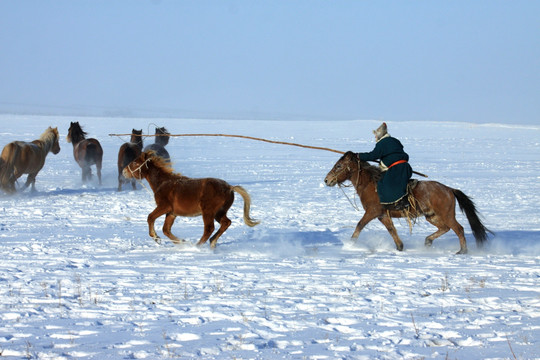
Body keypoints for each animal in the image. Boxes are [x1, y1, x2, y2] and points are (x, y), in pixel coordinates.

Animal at [124, 151, 260, 248]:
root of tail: (229, 188)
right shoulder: (172, 213)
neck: (163, 183)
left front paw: (156, 237)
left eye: (135, 163)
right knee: (226, 223)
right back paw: (212, 242)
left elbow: (150, 217)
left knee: (209, 228)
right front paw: (181, 242)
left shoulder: (164, 207)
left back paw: (197, 246)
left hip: (208, 212)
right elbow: (166, 229)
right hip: (219, 212)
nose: (124, 172)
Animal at [322, 150, 492, 255]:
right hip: (432, 216)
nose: (327, 180)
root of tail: (450, 190)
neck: (370, 184)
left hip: (447, 214)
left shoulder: (372, 212)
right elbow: (392, 230)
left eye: (338, 166)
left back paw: (462, 251)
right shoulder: (383, 215)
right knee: (445, 228)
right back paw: (428, 241)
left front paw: (351, 245)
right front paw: (400, 247)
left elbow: (360, 225)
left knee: (459, 229)